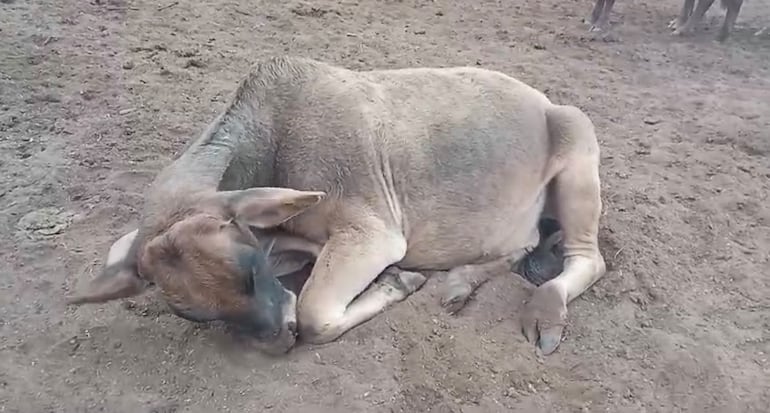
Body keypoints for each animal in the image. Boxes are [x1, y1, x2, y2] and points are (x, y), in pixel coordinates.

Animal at [66, 56, 608, 356]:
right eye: (192, 314)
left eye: (251, 271)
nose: (279, 338)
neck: (275, 144)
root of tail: (542, 100)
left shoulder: (374, 235)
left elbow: (316, 313)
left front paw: (399, 281)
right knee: (525, 245)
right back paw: (458, 283)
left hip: (579, 142)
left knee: (588, 259)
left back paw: (543, 311)